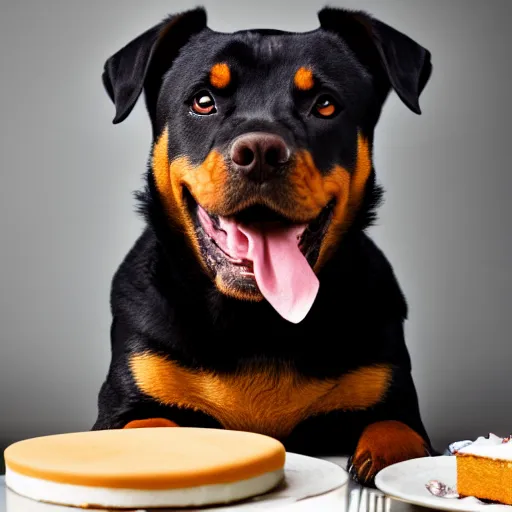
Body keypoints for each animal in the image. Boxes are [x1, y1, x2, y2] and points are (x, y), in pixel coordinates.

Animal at [94, 7, 434, 484]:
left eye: (324, 104)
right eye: (203, 101)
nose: (259, 153)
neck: (257, 321)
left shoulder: (387, 386)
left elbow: (397, 431)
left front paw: (386, 458)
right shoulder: (132, 391)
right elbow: (147, 426)